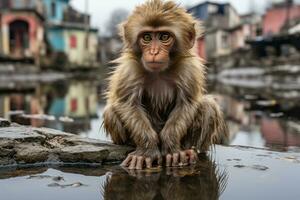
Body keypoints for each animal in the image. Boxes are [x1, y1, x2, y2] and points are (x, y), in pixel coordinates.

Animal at [102, 0, 227, 170]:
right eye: (147, 37)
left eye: (164, 36)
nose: (154, 52)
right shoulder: (130, 68)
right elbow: (127, 103)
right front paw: (147, 151)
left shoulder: (188, 69)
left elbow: (186, 103)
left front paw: (172, 150)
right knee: (110, 110)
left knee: (209, 106)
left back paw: (190, 150)